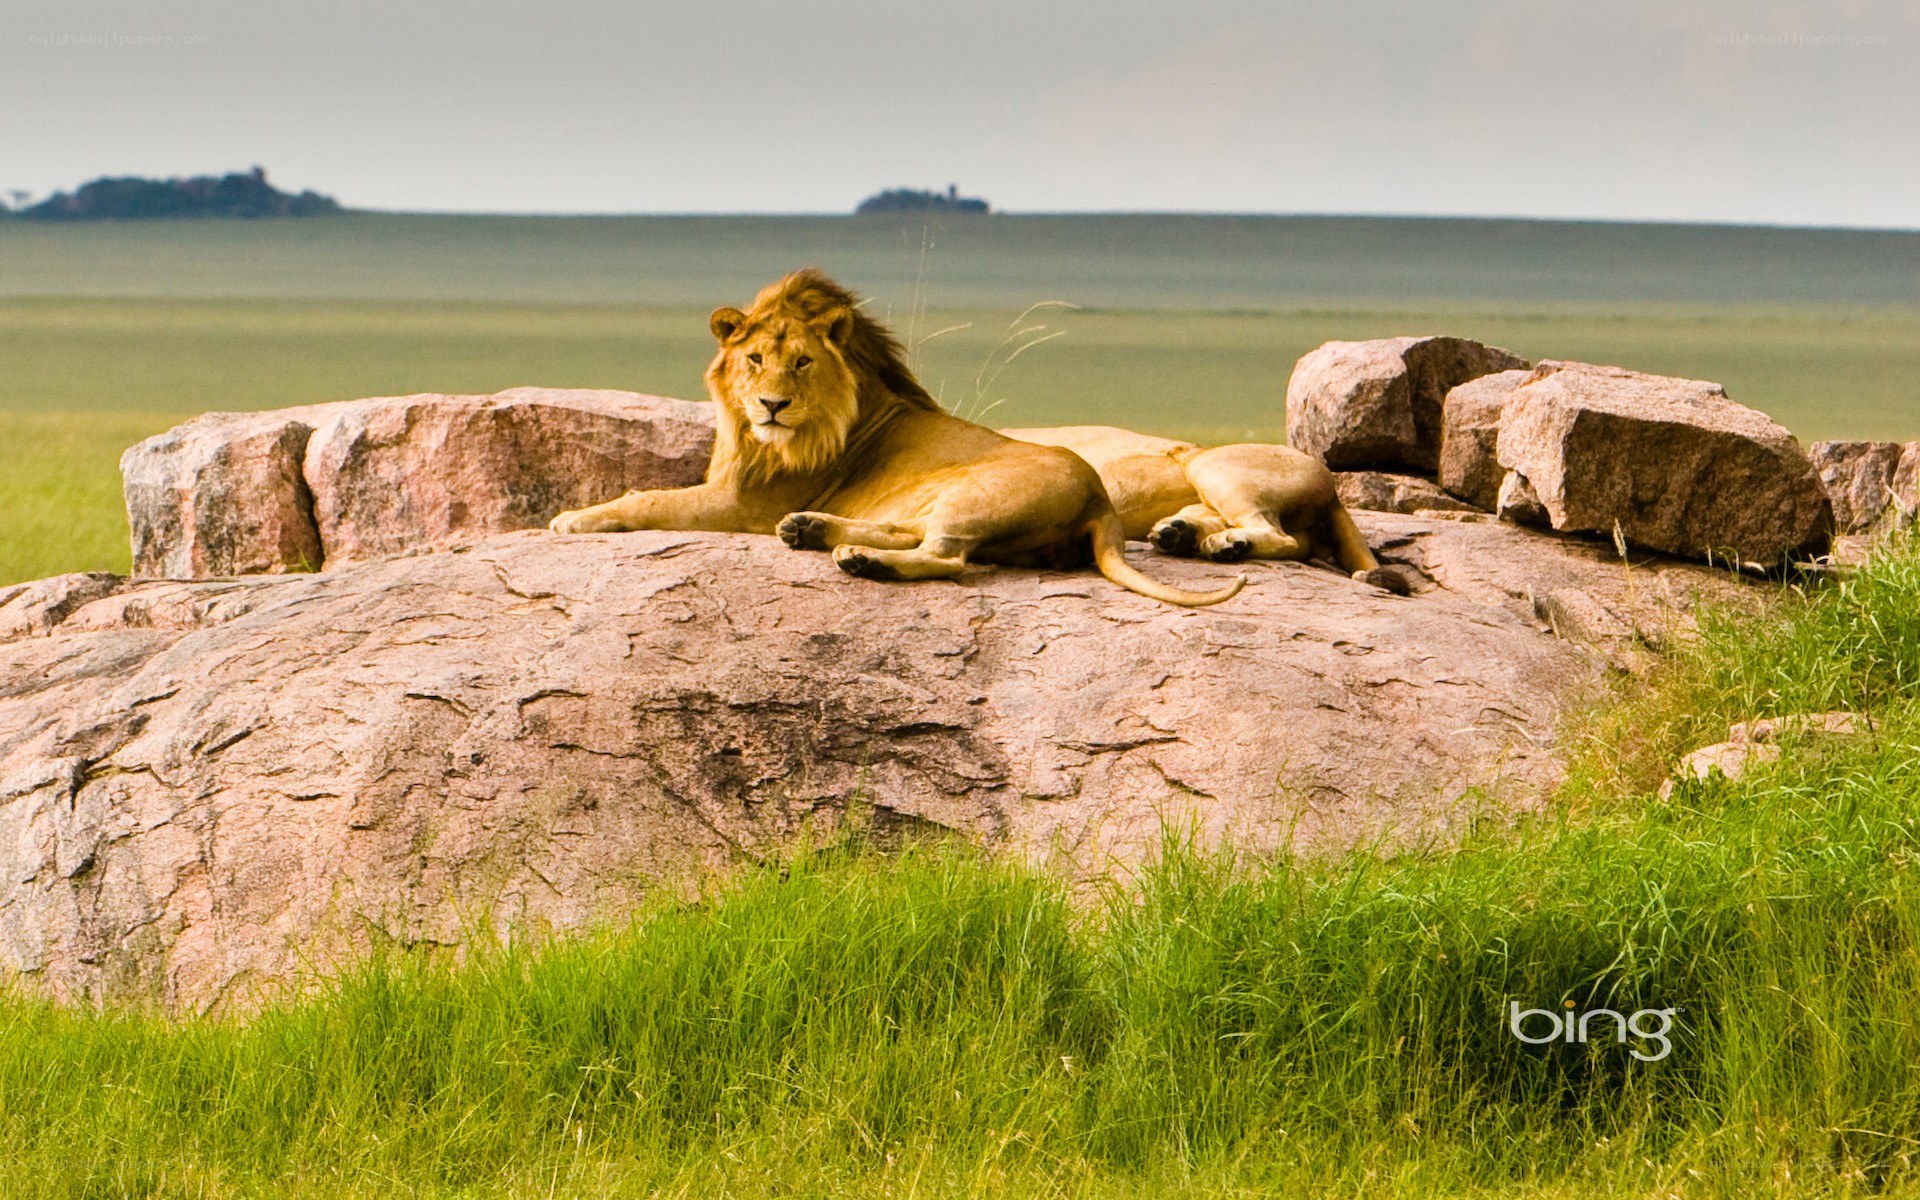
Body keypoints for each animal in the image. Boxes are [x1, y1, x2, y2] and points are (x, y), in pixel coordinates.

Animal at [548, 270, 1244, 607]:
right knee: (914, 534)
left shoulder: (741, 504)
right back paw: (813, 531)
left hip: (975, 492)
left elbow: (647, 497)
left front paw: (572, 519)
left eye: (802, 362)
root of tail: (1101, 502)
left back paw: (859, 560)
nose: (773, 405)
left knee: (946, 556)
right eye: (754, 360)